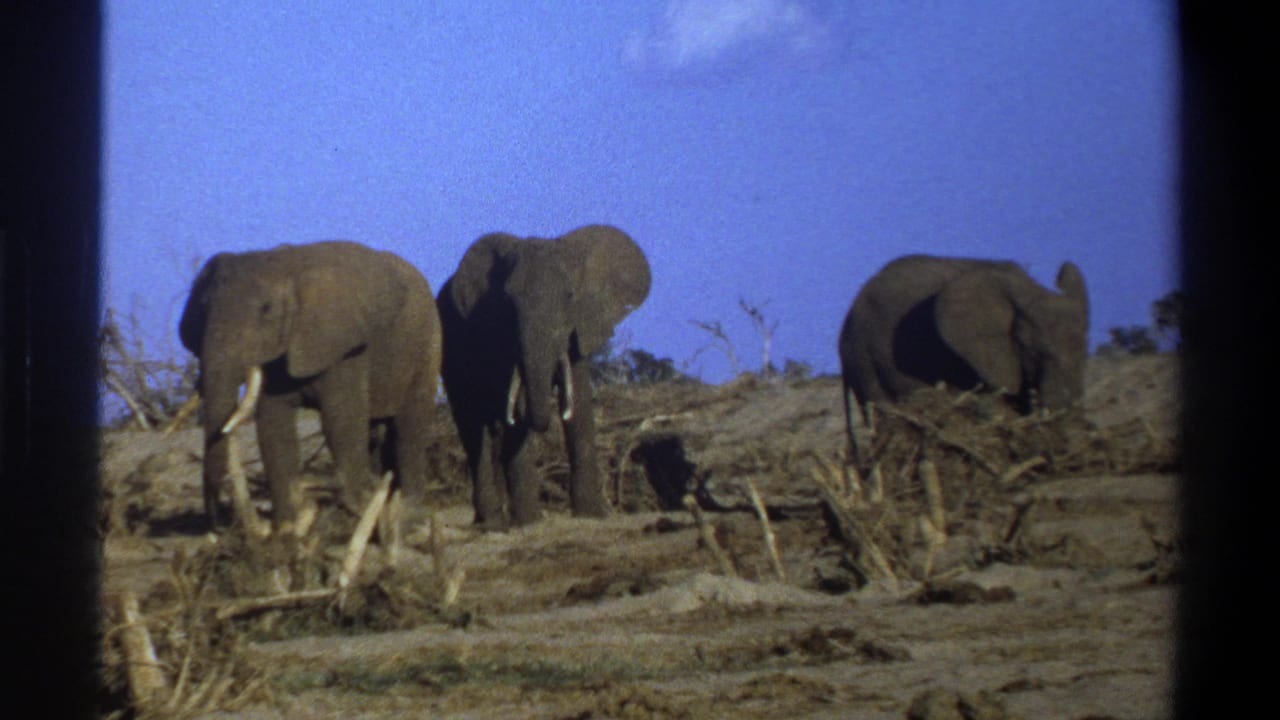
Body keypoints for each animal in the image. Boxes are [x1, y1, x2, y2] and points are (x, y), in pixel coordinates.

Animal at [178, 240, 442, 533]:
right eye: (203, 310)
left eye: (266, 310)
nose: (220, 525)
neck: (286, 267)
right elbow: (273, 424)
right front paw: (287, 527)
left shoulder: (345, 345)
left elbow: (340, 419)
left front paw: (357, 511)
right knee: (377, 428)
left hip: (426, 343)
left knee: (410, 426)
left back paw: (408, 513)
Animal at [437, 224, 650, 529]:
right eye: (508, 301)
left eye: (570, 296)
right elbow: (513, 405)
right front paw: (530, 522)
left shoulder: (579, 328)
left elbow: (580, 403)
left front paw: (590, 515)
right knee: (473, 427)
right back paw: (493, 523)